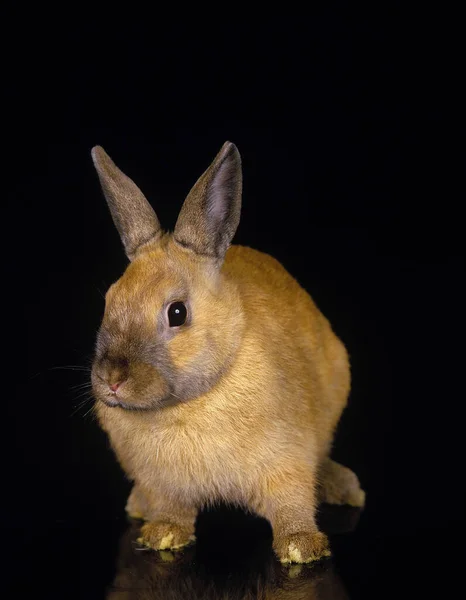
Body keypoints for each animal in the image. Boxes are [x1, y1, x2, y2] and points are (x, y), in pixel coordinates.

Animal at [88, 141, 364, 564]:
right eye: (108, 301)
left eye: (177, 313)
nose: (112, 380)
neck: (190, 403)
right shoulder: (162, 481)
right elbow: (170, 504)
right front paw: (163, 533)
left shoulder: (287, 459)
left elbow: (293, 499)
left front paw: (301, 546)